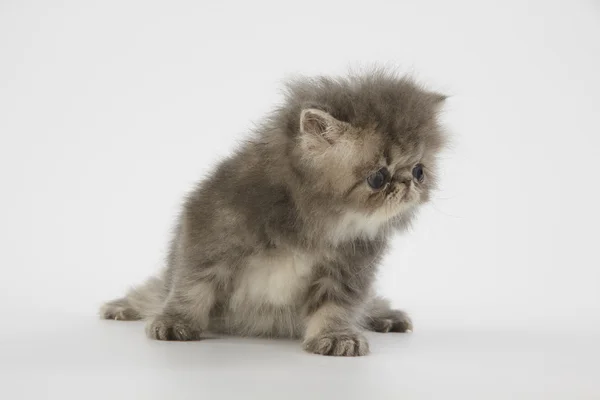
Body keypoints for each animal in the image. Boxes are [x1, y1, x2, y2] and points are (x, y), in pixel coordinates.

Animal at [101, 69, 446, 356]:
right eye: (378, 177)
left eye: (419, 171)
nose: (408, 184)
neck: (316, 225)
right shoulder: (209, 227)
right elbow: (191, 285)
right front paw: (175, 322)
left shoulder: (349, 267)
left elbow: (337, 306)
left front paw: (336, 336)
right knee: (155, 289)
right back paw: (121, 307)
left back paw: (387, 317)